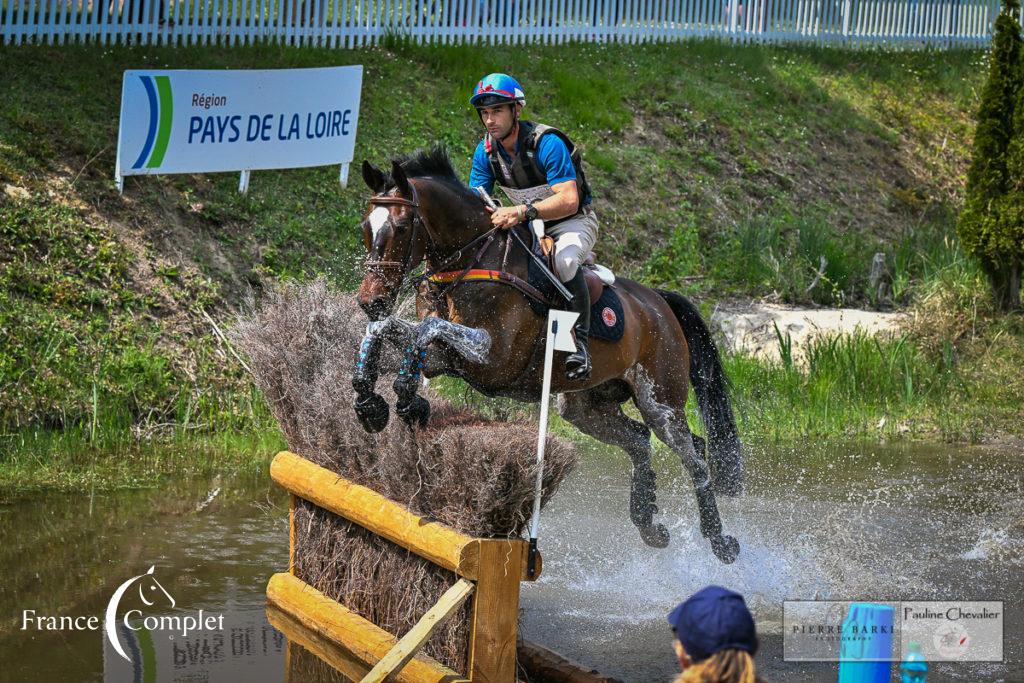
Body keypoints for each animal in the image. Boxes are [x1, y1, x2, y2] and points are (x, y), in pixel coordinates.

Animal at [352, 147, 745, 565]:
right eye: (366, 228)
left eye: (401, 227)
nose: (370, 300)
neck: (472, 257)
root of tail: (659, 302)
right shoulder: (449, 358)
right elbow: (388, 332)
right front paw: (371, 402)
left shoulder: (491, 358)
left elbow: (426, 330)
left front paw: (407, 399)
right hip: (583, 407)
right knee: (639, 440)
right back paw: (649, 524)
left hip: (660, 401)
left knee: (694, 454)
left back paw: (721, 541)